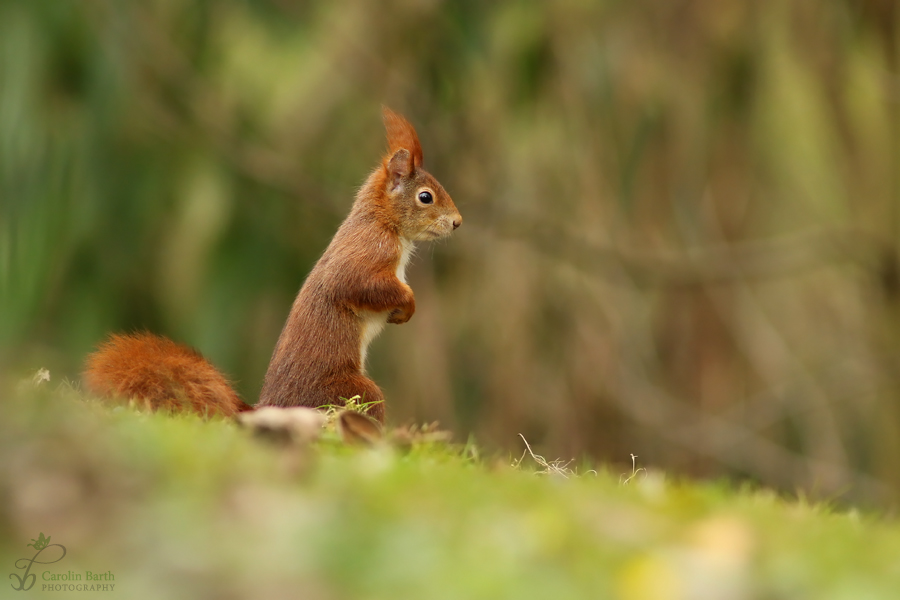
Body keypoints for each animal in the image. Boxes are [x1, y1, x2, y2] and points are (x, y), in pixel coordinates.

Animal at [82, 109, 464, 426]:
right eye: (425, 197)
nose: (458, 222)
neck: (383, 221)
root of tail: (273, 407)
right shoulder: (368, 251)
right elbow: (356, 284)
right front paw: (408, 303)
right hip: (351, 391)